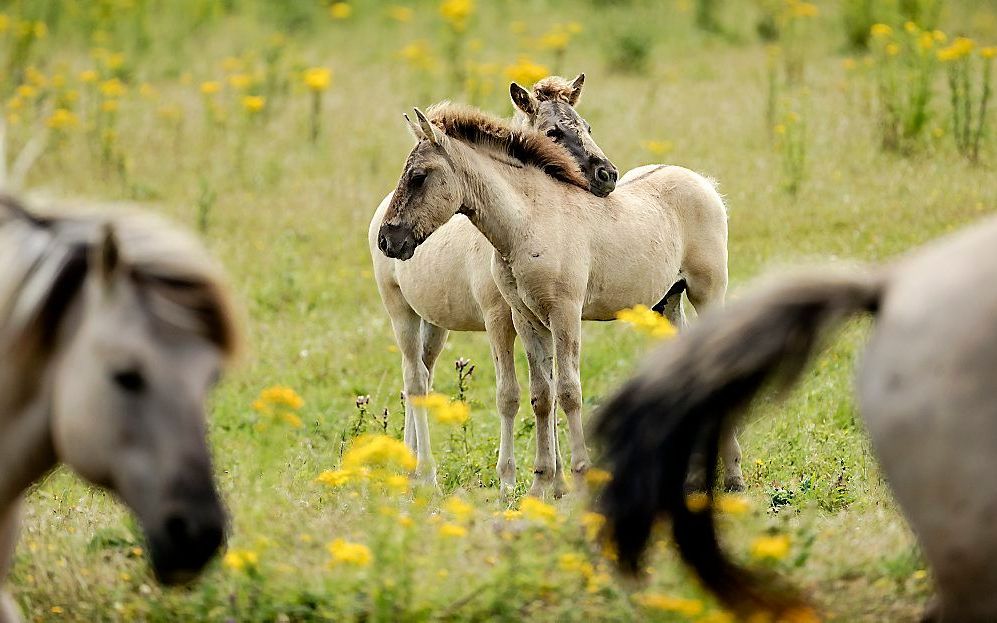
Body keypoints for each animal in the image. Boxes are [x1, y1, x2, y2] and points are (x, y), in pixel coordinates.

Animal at [366, 74, 616, 492]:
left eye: (588, 126)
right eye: (553, 131)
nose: (608, 175)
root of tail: (378, 216)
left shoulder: (537, 315)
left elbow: (546, 390)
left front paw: (557, 483)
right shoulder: (499, 317)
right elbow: (511, 394)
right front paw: (511, 482)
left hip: (433, 324)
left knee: (421, 377)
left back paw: (410, 466)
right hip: (400, 312)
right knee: (415, 380)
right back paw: (426, 475)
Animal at [376, 105, 740, 500]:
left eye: (418, 176)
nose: (386, 238)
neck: (530, 222)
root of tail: (704, 183)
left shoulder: (565, 314)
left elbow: (568, 392)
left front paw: (580, 479)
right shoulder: (525, 318)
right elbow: (541, 396)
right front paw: (540, 485)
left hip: (707, 291)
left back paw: (733, 477)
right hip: (667, 302)